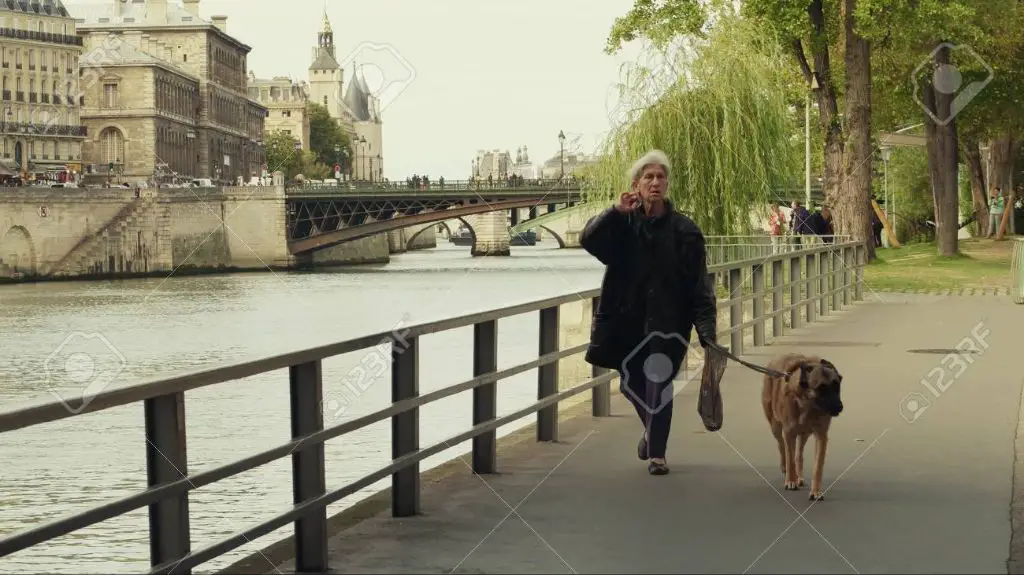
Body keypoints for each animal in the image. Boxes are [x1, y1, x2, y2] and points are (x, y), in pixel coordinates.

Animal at [761, 349, 847, 497]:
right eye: (821, 388)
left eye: (837, 386)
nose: (839, 407)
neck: (808, 405)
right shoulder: (789, 433)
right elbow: (789, 458)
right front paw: (790, 481)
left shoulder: (821, 436)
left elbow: (817, 466)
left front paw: (816, 491)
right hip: (775, 426)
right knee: (782, 446)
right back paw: (786, 469)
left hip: (804, 433)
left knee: (798, 455)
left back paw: (799, 476)